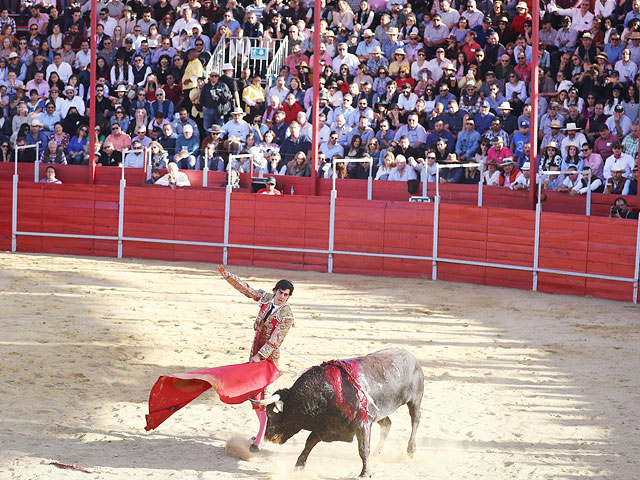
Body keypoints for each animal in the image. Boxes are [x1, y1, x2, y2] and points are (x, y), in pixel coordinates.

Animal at [250, 348, 424, 476]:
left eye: (272, 415)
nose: (268, 436)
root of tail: (412, 357)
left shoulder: (362, 424)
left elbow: (362, 449)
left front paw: (365, 473)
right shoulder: (326, 427)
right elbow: (309, 442)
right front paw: (298, 466)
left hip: (415, 400)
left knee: (415, 420)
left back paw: (411, 450)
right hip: (379, 411)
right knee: (387, 424)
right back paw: (377, 454)